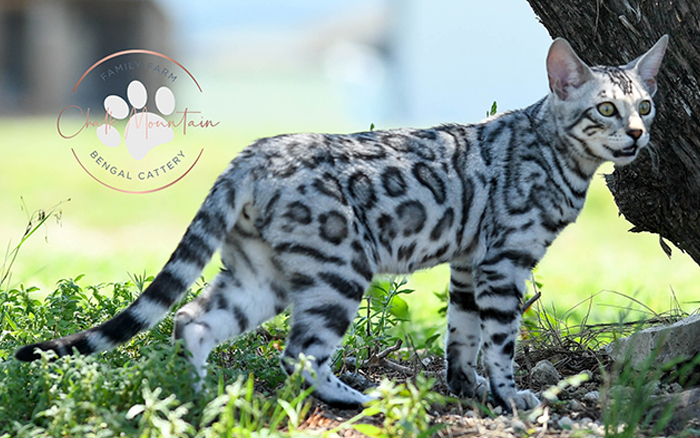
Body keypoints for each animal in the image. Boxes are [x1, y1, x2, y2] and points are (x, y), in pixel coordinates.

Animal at [16, 36, 668, 412]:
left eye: (646, 105)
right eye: (605, 108)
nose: (639, 135)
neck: (557, 154)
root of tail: (253, 153)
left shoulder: (467, 264)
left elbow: (461, 338)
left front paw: (468, 392)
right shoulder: (503, 264)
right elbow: (500, 345)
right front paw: (510, 399)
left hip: (261, 276)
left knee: (192, 321)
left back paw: (196, 400)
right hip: (338, 269)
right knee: (298, 354)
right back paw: (356, 398)